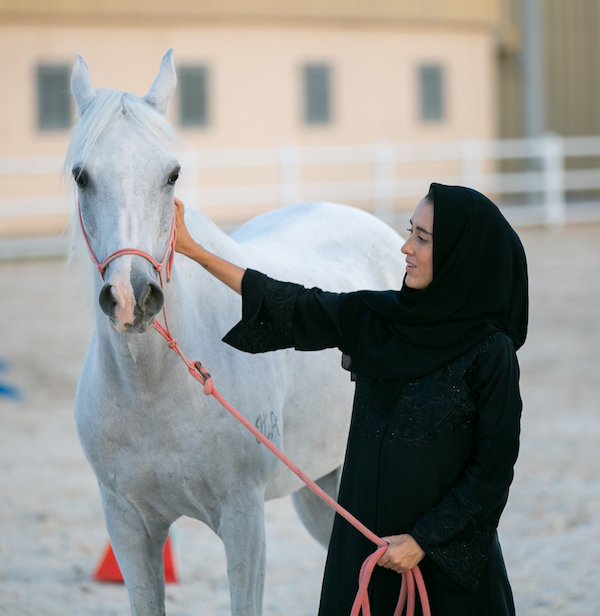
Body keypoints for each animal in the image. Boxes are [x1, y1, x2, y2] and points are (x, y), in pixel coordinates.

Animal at [69, 49, 408, 616]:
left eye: (172, 174)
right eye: (80, 175)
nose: (132, 297)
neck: (153, 388)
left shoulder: (244, 520)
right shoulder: (128, 526)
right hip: (324, 486)